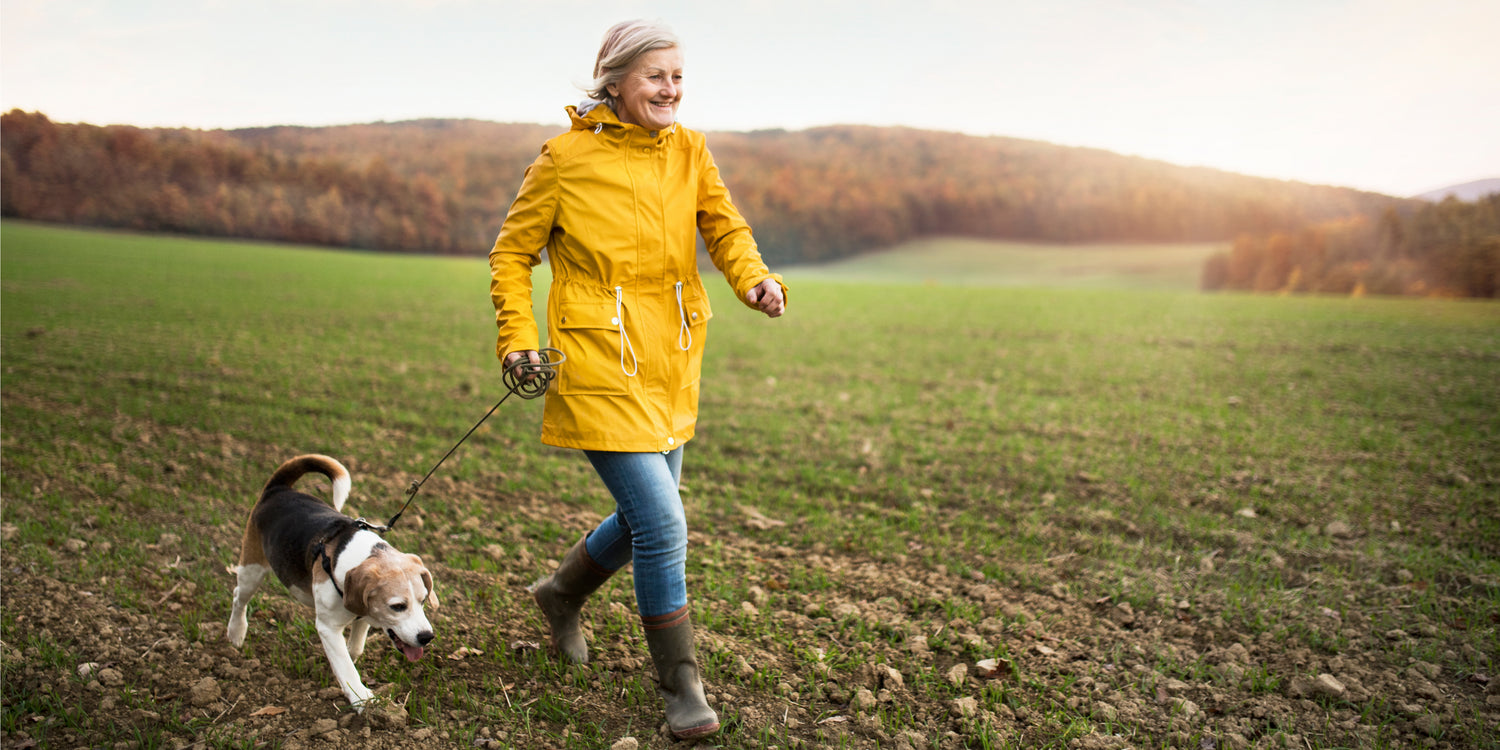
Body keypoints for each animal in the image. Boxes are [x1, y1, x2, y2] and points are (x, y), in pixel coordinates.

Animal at [225, 453, 438, 711]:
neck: (361, 556)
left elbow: (354, 648)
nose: (427, 637)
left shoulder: (362, 614)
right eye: (397, 606)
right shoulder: (328, 627)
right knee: (239, 596)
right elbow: (346, 666)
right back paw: (236, 633)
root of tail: (278, 488)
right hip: (252, 569)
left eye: (424, 601)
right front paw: (363, 699)